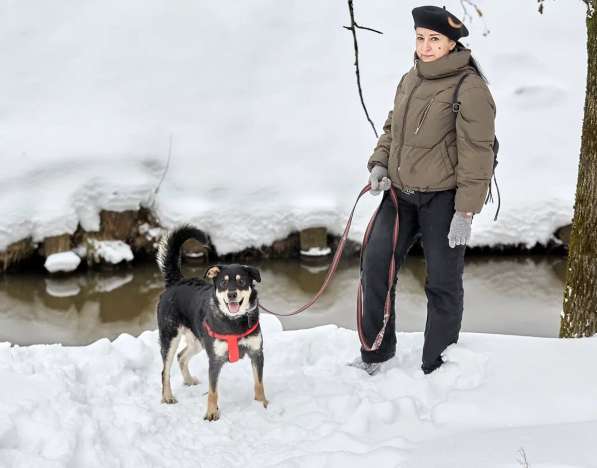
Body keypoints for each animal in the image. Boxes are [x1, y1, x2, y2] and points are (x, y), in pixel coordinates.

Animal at [155, 225, 266, 422]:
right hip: (169, 337)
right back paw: (167, 396)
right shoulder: (214, 360)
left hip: (197, 340)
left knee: (181, 356)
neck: (233, 321)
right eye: (223, 283)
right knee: (165, 370)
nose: (232, 294)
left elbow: (259, 383)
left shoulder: (256, 353)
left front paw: (262, 405)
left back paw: (189, 380)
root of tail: (177, 281)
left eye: (241, 281)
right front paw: (212, 413)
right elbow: (213, 391)